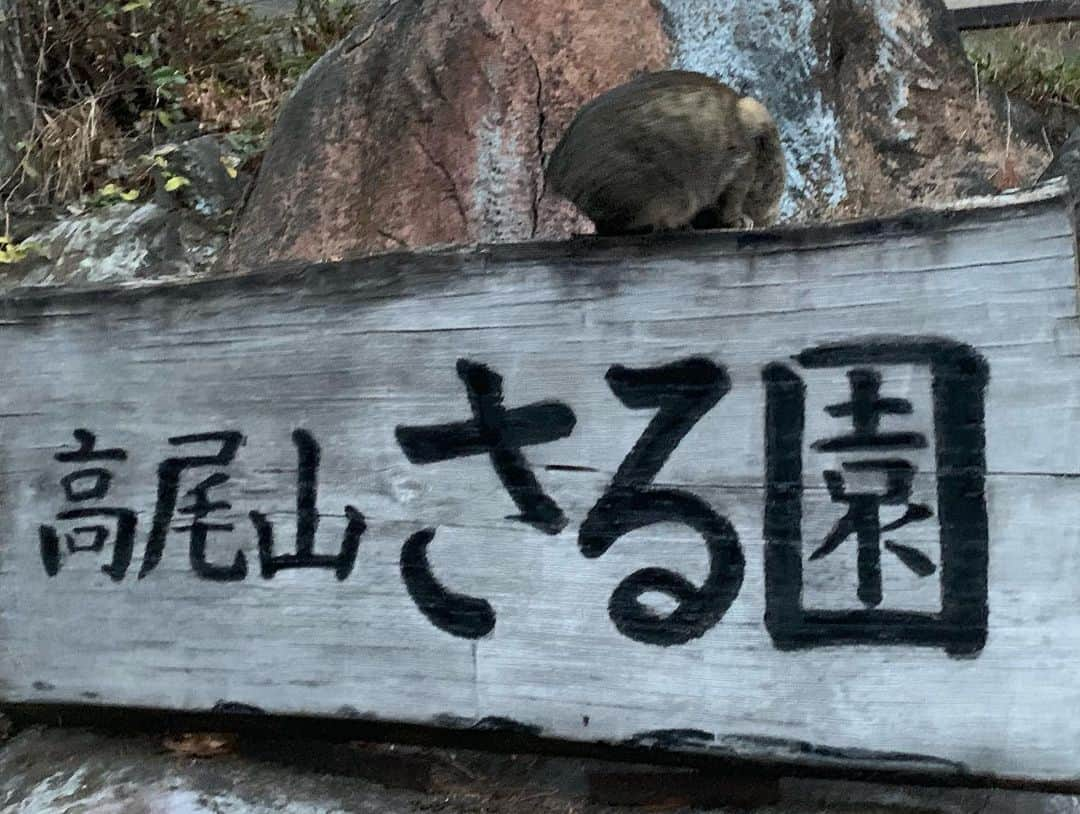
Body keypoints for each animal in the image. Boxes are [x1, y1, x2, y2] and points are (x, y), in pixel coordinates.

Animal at [548, 69, 786, 234]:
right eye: (772, 189)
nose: (772, 217)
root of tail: (556, 170)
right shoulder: (738, 169)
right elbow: (732, 201)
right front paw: (738, 219)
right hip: (662, 193)